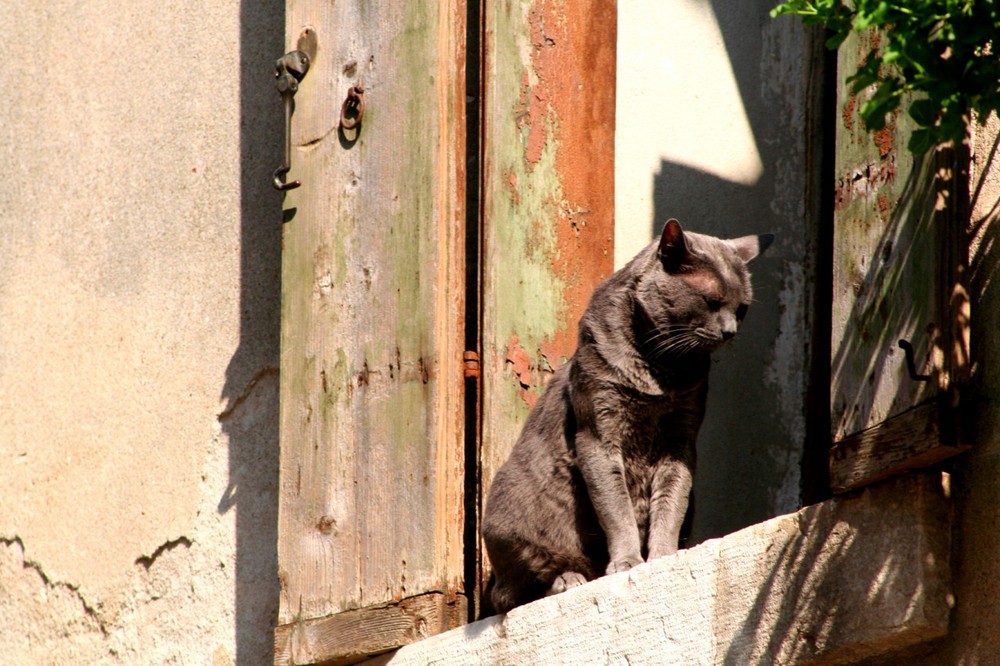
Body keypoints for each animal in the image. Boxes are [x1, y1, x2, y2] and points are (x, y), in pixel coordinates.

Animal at [480, 218, 768, 612]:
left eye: (742, 308)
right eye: (711, 302)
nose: (730, 331)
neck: (661, 364)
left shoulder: (681, 441)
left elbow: (670, 506)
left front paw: (663, 556)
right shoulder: (598, 435)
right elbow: (616, 509)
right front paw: (627, 562)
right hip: (511, 508)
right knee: (510, 594)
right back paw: (566, 580)